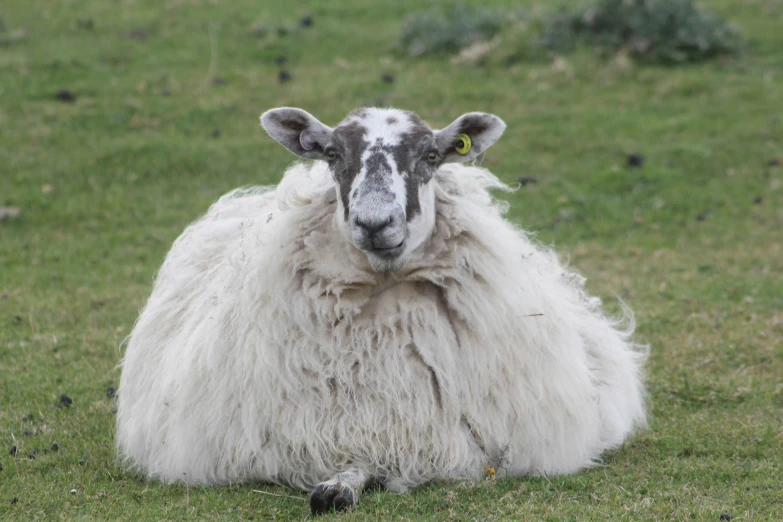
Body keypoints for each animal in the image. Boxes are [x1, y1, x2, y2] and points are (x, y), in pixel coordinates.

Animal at [115, 105, 644, 512]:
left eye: (431, 155)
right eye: (332, 154)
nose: (375, 223)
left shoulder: (451, 441)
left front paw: (343, 485)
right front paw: (336, 487)